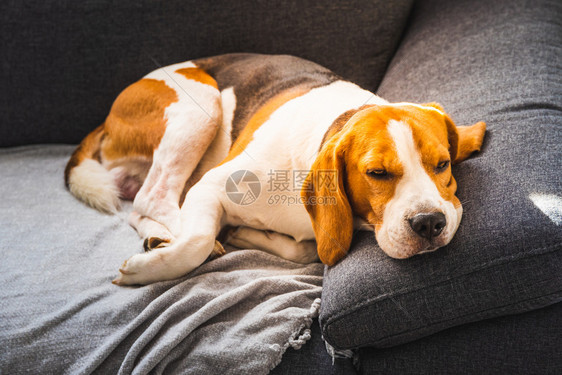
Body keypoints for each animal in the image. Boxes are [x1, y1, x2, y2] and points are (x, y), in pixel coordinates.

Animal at [63, 54, 484, 286]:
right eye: (377, 173)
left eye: (442, 164)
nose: (429, 223)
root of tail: (108, 116)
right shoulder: (211, 186)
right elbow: (196, 241)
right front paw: (148, 269)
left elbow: (306, 250)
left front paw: (248, 234)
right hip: (201, 102)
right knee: (153, 199)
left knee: (140, 207)